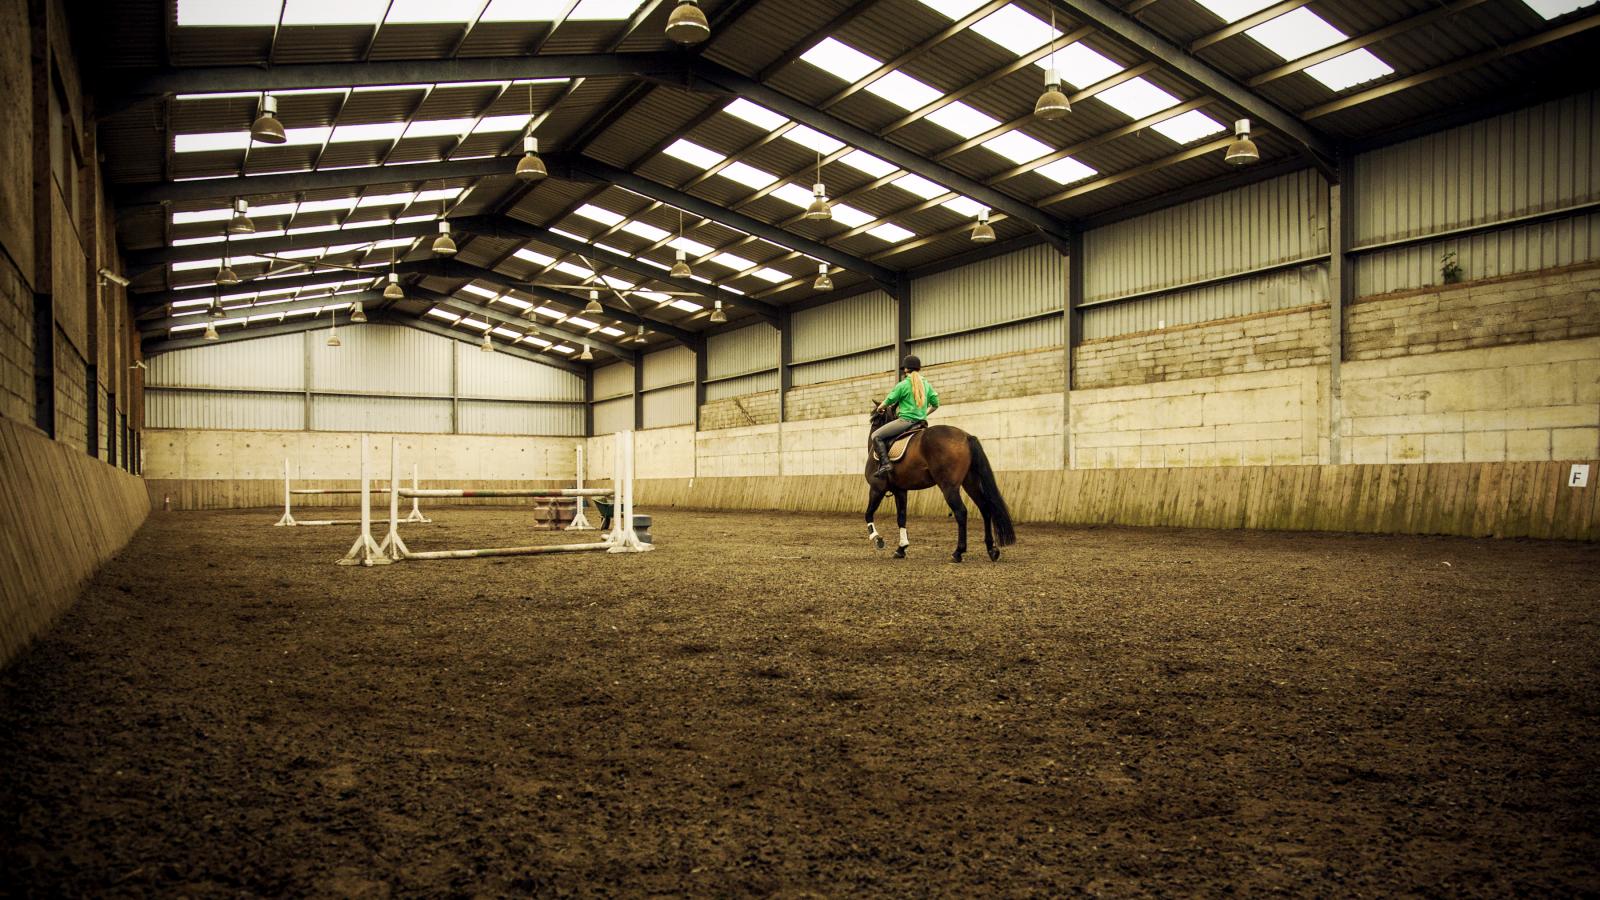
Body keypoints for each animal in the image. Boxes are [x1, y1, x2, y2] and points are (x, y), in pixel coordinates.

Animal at [864, 400, 1011, 557]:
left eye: (874, 419)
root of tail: (966, 436)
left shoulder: (877, 488)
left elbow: (869, 514)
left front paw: (877, 539)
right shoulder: (900, 491)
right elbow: (901, 518)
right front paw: (901, 548)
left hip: (948, 487)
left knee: (961, 512)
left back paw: (958, 552)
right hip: (971, 483)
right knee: (984, 508)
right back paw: (991, 550)